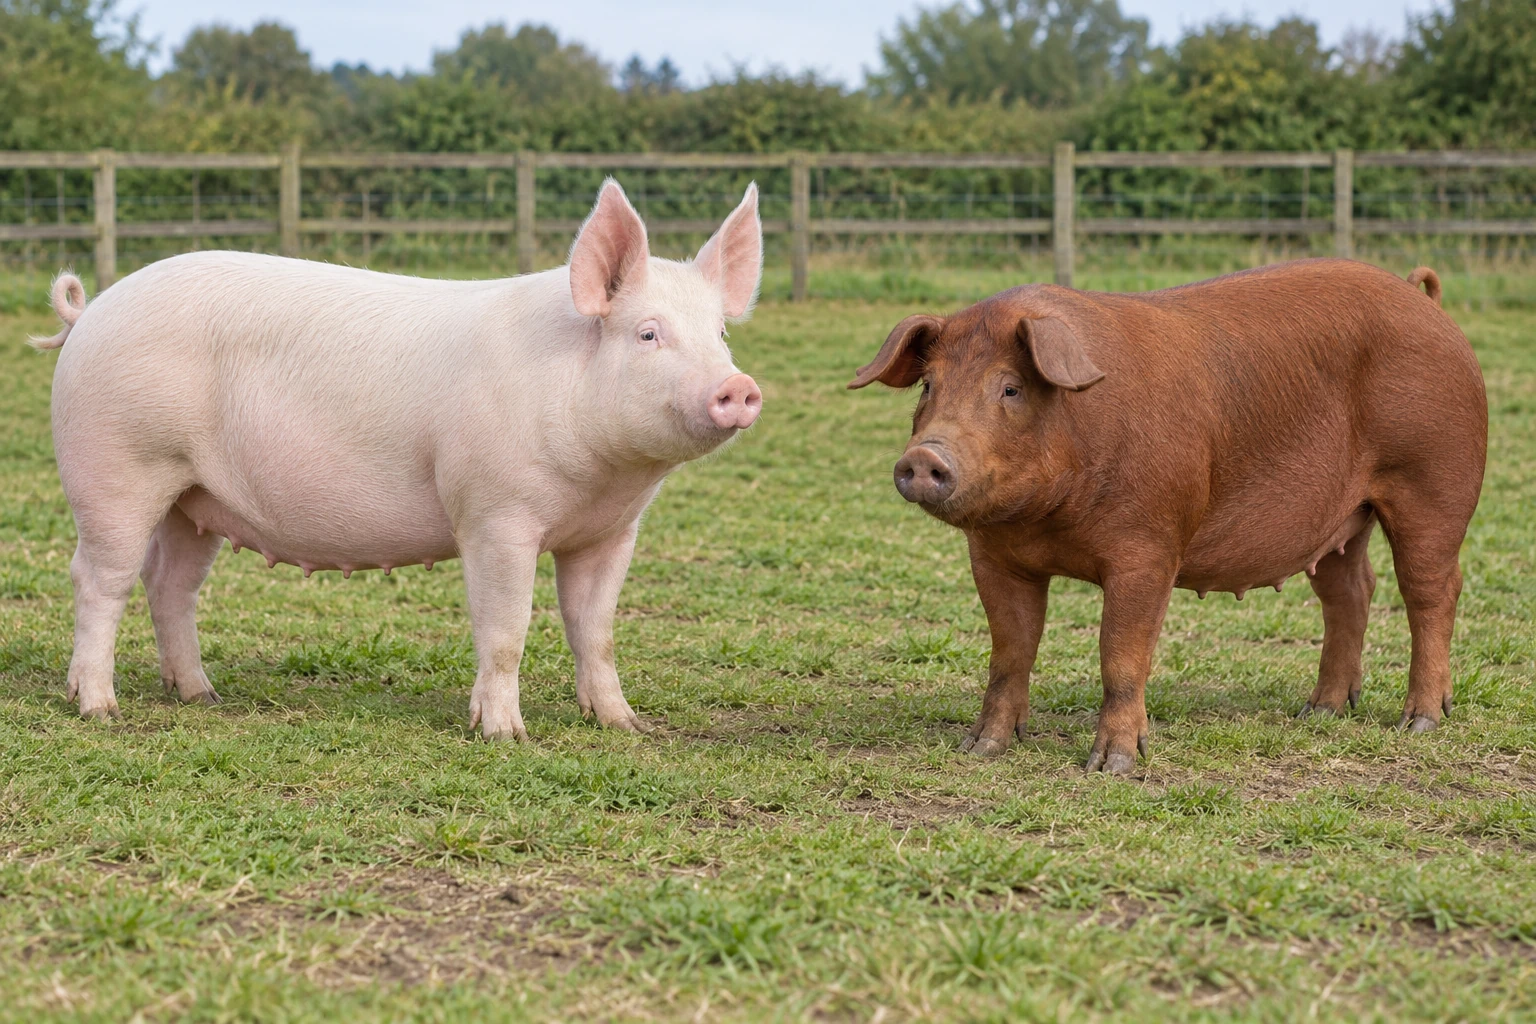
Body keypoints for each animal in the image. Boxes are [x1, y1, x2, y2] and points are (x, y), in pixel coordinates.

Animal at [33, 180, 764, 740]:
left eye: (721, 333)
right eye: (648, 334)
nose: (738, 385)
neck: (603, 480)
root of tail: (90, 312)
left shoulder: (612, 531)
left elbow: (597, 629)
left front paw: (626, 726)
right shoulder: (494, 513)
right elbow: (505, 627)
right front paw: (506, 735)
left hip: (193, 498)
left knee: (169, 584)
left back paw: (201, 695)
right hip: (116, 465)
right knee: (99, 579)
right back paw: (99, 709)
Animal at [850, 260, 1486, 774]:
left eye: (1010, 388)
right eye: (928, 386)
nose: (924, 458)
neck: (1047, 521)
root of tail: (1423, 299)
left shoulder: (1149, 547)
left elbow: (1120, 654)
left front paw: (1113, 766)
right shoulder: (993, 557)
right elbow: (1010, 651)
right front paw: (981, 749)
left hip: (1435, 481)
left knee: (1432, 589)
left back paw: (1419, 722)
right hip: (1339, 518)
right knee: (1352, 591)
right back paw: (1319, 713)